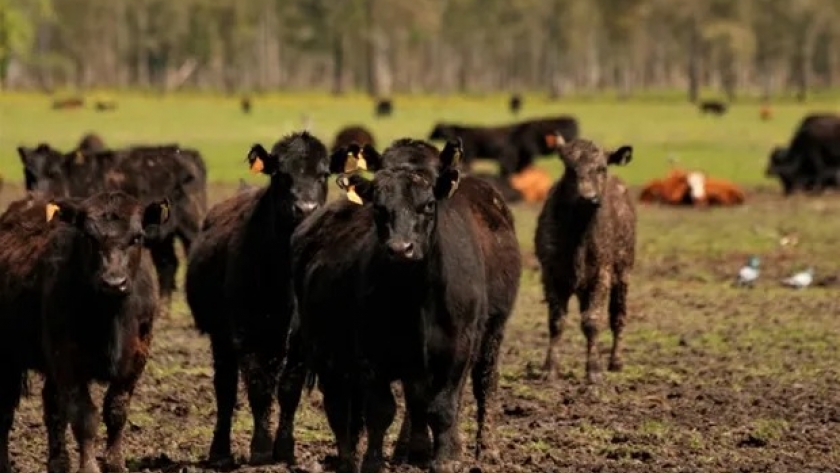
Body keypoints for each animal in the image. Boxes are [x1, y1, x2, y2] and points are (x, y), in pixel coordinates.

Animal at [0, 190, 169, 472]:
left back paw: (58, 463)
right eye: (89, 236)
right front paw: (89, 466)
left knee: (53, 407)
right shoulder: (68, 359)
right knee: (6, 409)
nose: (114, 282)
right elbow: (84, 417)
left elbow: (116, 410)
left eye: (137, 237)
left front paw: (115, 463)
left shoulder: (137, 357)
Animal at [185, 131, 334, 466]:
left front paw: (285, 448)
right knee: (225, 389)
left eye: (323, 174)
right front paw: (262, 449)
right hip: (221, 338)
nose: (306, 208)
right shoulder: (245, 334)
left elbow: (289, 390)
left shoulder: (300, 342)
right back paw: (220, 452)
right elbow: (258, 388)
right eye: (280, 174)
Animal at [278, 138, 520, 472]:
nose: (401, 249)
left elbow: (443, 406)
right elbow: (382, 410)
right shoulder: (371, 351)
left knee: (484, 384)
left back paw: (485, 450)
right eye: (379, 207)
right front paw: (375, 461)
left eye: (428, 204)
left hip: (492, 332)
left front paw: (444, 459)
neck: (415, 295)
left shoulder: (458, 347)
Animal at [540, 134, 636, 384]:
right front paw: (549, 369)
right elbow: (557, 321)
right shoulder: (551, 274)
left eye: (601, 167)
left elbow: (593, 321)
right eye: (570, 168)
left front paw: (594, 370)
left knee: (618, 317)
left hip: (624, 273)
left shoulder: (601, 274)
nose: (588, 198)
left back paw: (615, 362)